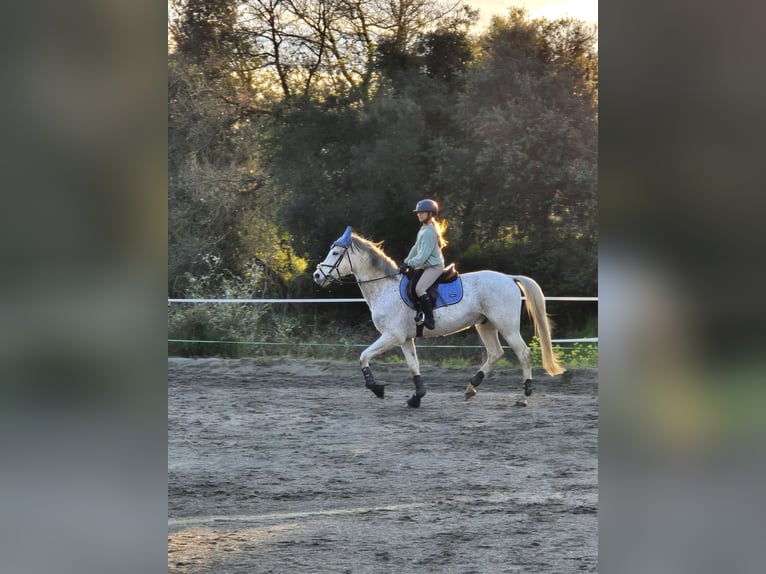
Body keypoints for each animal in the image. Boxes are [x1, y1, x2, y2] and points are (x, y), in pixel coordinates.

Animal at [313, 226, 565, 407]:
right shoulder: (405, 339)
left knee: (523, 354)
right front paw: (417, 397)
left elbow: (363, 356)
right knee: (496, 354)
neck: (384, 288)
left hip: (507, 326)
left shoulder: (392, 336)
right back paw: (471, 388)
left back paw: (523, 397)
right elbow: (413, 365)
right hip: (485, 325)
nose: (317, 275)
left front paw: (378, 389)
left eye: (335, 253)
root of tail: (509, 278)